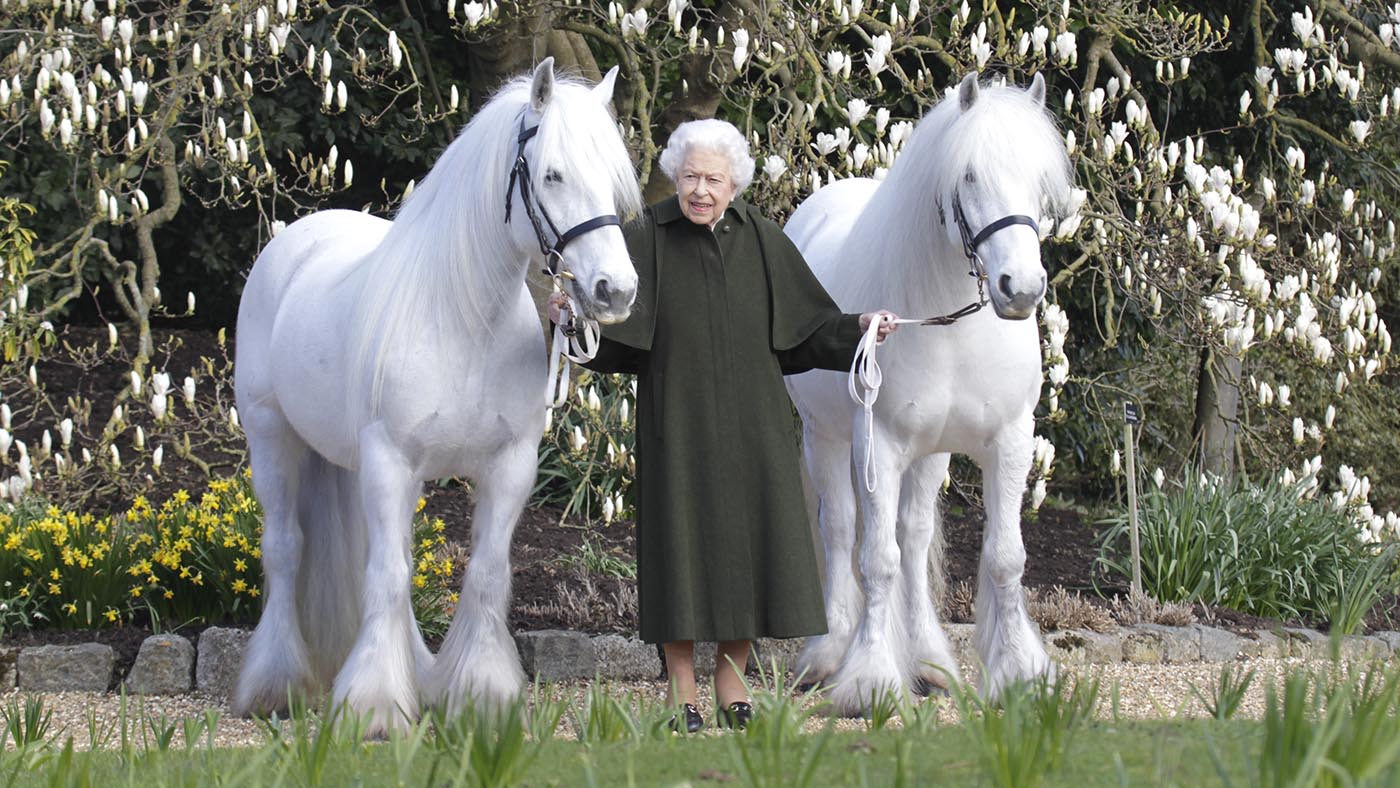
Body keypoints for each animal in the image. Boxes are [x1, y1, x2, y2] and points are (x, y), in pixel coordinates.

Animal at [233, 60, 641, 733]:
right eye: (553, 174)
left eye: (611, 180)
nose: (616, 290)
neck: (463, 321)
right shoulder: (390, 460)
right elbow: (387, 576)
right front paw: (373, 705)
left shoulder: (508, 466)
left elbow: (484, 574)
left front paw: (480, 694)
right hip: (273, 439)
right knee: (286, 550)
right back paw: (276, 684)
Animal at [789, 75, 1069, 716]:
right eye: (968, 176)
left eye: (1040, 179)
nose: (1021, 288)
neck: (951, 325)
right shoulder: (880, 444)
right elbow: (875, 559)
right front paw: (869, 679)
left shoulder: (1009, 440)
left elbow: (1003, 557)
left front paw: (1018, 672)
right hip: (826, 437)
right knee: (840, 530)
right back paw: (828, 654)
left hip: (931, 453)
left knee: (914, 539)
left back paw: (928, 661)